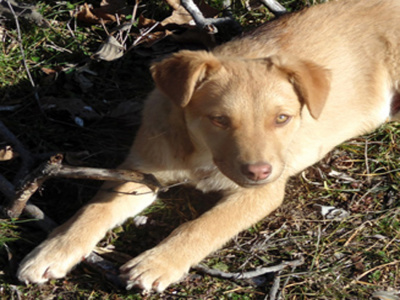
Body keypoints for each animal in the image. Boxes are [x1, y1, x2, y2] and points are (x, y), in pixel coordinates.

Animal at [15, 0, 400, 292]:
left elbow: (204, 226)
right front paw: (53, 250)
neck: (199, 156)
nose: (258, 171)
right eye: (219, 120)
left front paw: (158, 262)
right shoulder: (141, 174)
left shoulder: (262, 193)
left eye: (283, 118)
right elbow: (93, 211)